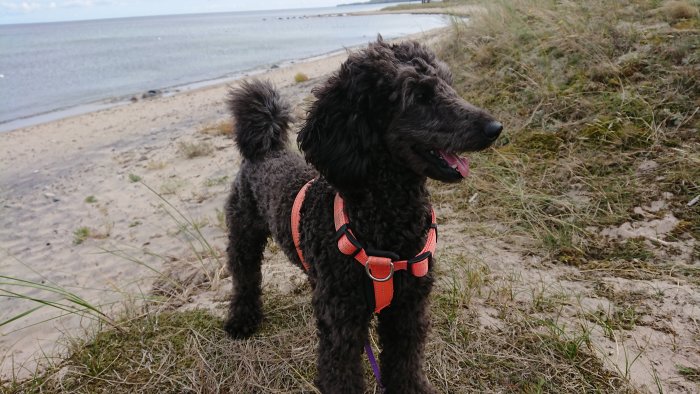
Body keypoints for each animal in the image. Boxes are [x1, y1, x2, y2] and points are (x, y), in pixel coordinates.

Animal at [221, 37, 500, 394]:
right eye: (418, 96)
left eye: (448, 84)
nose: (495, 127)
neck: (386, 221)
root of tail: (266, 150)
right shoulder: (343, 324)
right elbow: (341, 374)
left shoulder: (408, 310)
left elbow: (405, 363)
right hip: (243, 233)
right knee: (244, 277)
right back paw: (242, 321)